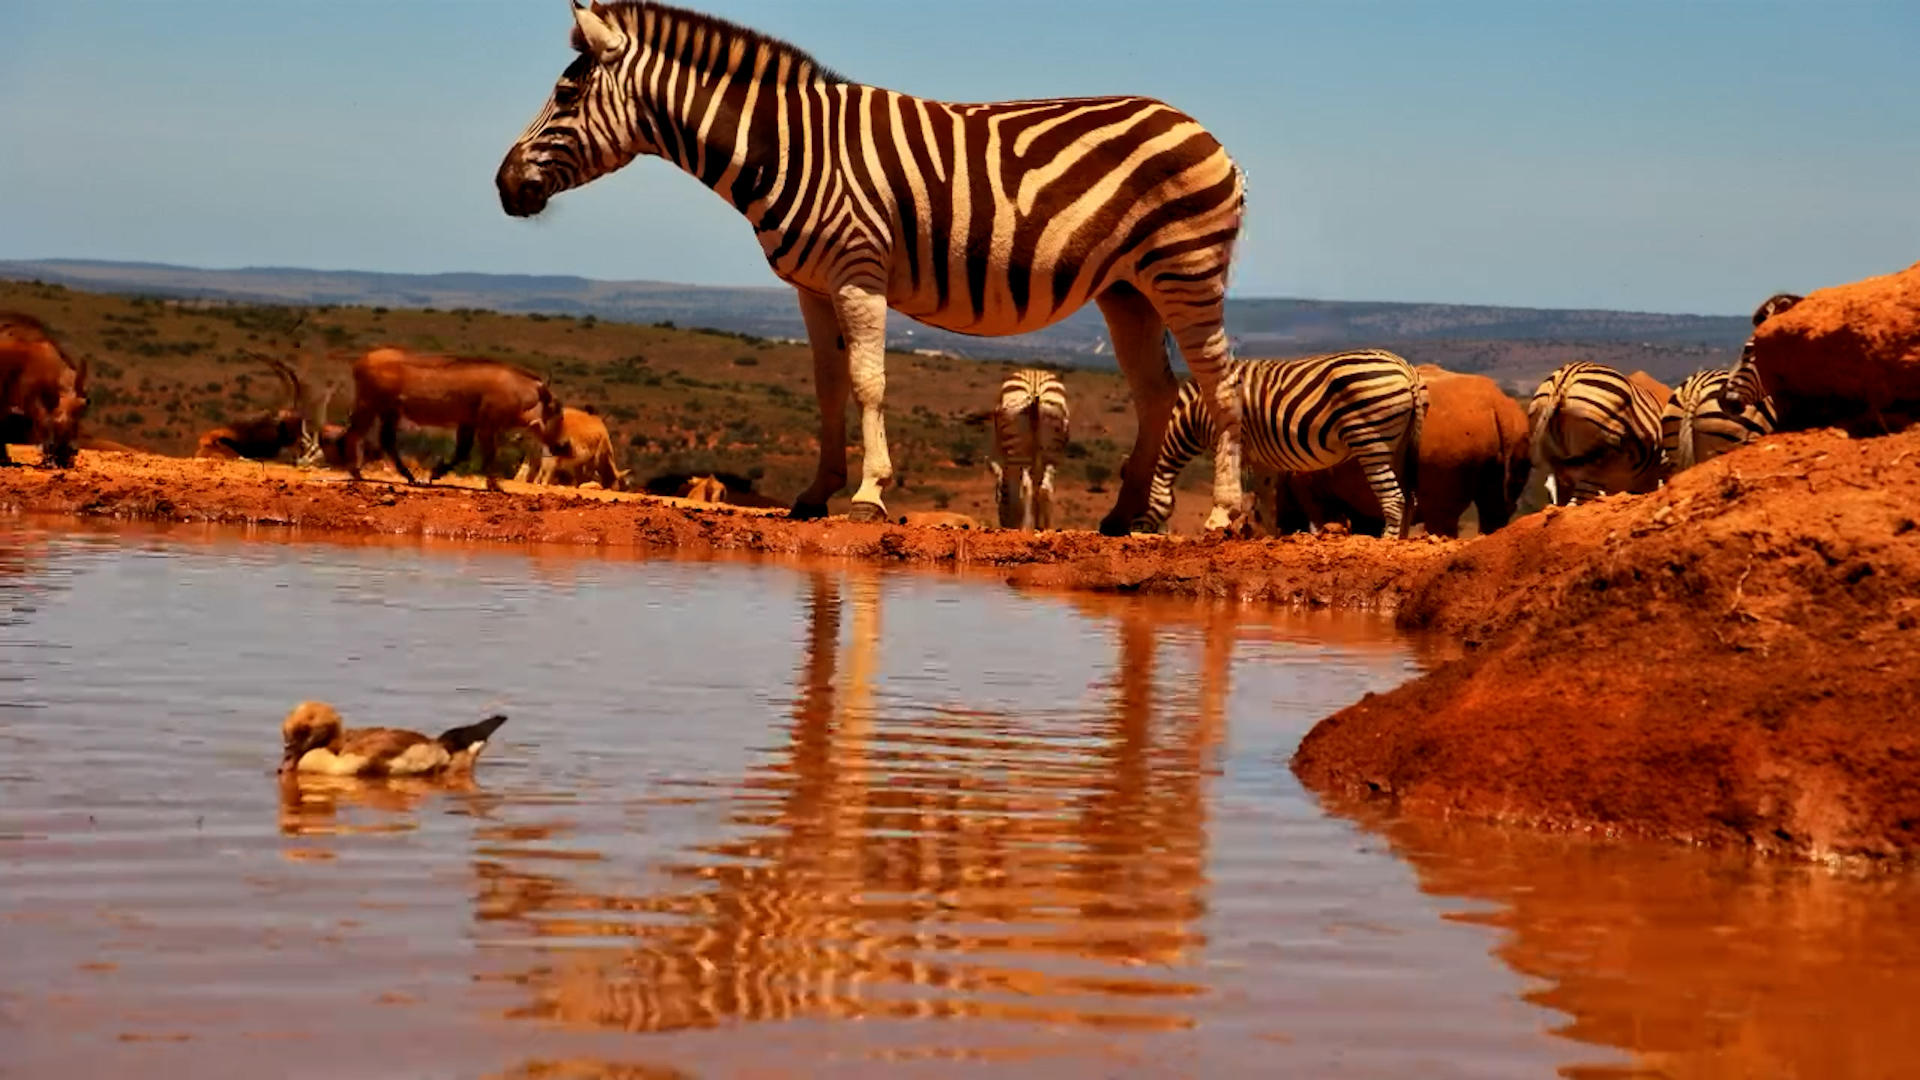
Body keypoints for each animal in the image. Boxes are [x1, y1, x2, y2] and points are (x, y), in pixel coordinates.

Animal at [987, 368, 1070, 530]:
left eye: (997, 498)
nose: (1005, 525)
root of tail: (1034, 387)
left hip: (1016, 451)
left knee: (1024, 489)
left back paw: (1025, 529)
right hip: (1051, 451)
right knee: (1045, 488)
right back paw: (1044, 528)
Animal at [1134, 350, 1429, 537]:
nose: (1135, 529)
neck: (1195, 411)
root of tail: (1406, 368)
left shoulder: (1227, 440)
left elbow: (1226, 488)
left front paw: (1215, 525)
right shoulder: (1260, 458)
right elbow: (1263, 500)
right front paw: (1268, 535)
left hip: (1370, 441)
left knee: (1394, 497)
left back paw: (1387, 541)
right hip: (1399, 447)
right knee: (1408, 498)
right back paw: (1401, 540)